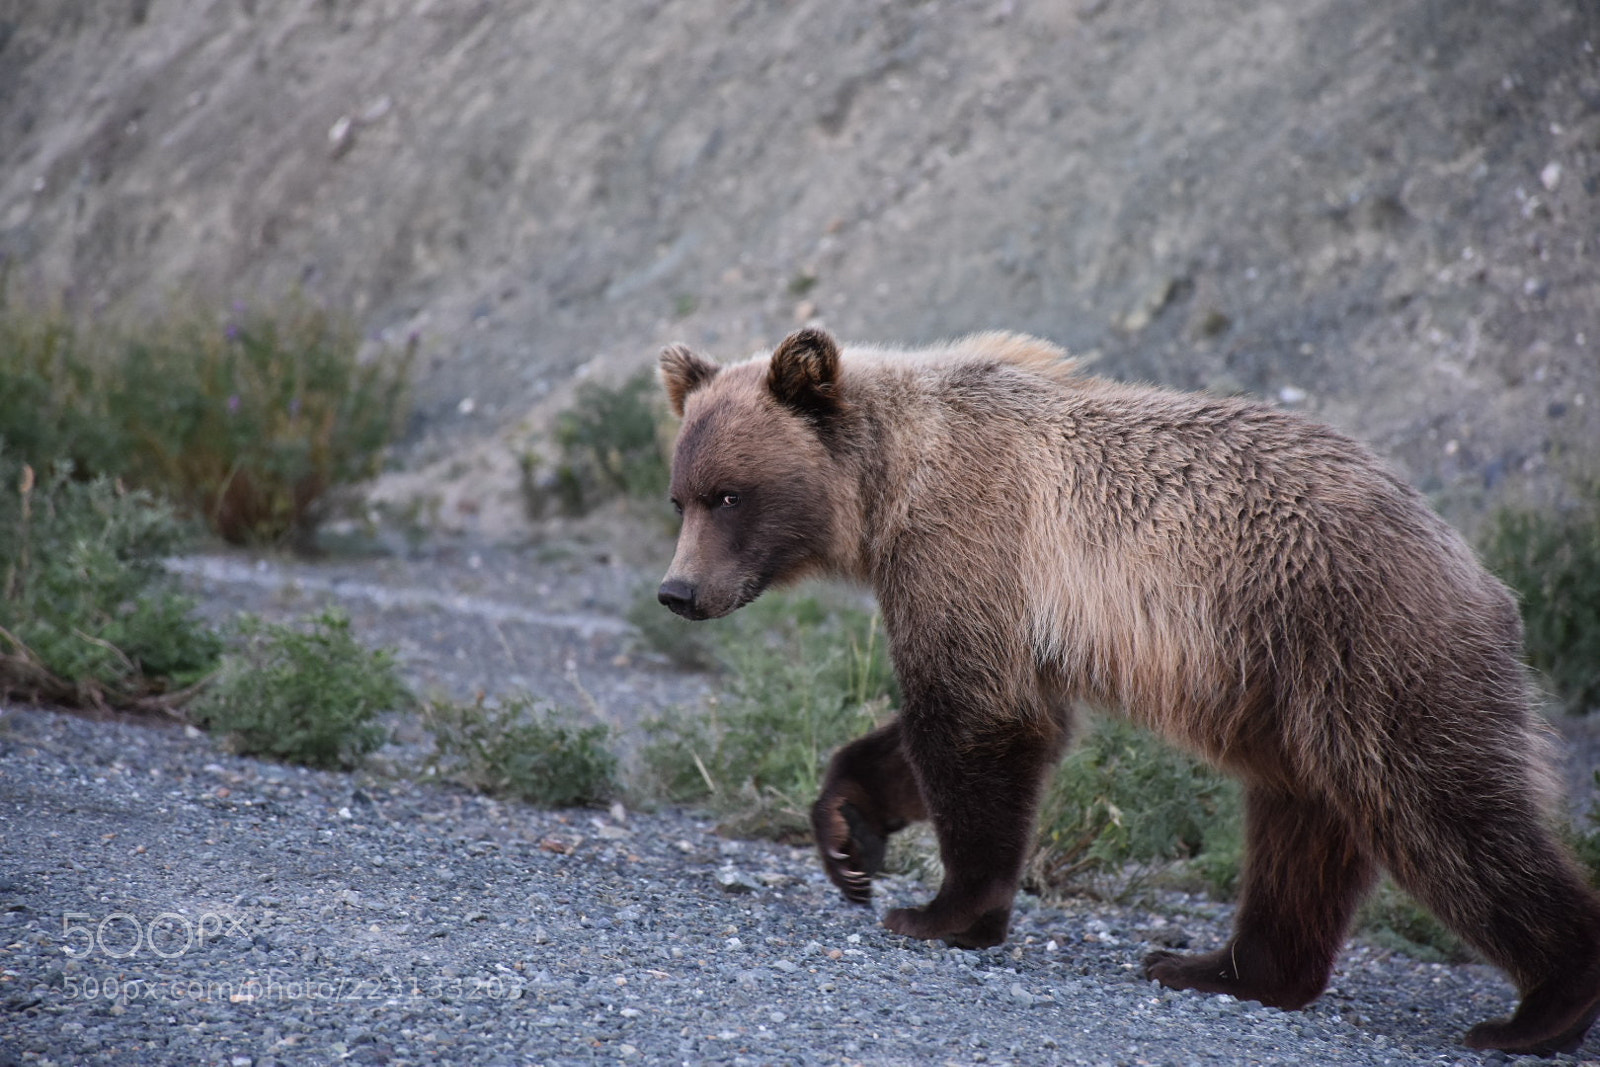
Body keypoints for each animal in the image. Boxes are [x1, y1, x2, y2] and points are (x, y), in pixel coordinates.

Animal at [655, 326, 1600, 1055]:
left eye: (729, 495)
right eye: (680, 497)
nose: (678, 591)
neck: (891, 487)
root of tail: (1474, 563)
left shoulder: (973, 545)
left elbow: (974, 723)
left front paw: (942, 911)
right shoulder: (995, 604)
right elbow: (969, 718)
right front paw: (850, 832)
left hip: (1370, 644)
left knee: (1446, 810)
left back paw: (1541, 1006)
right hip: (1300, 697)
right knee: (1304, 828)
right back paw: (1220, 968)